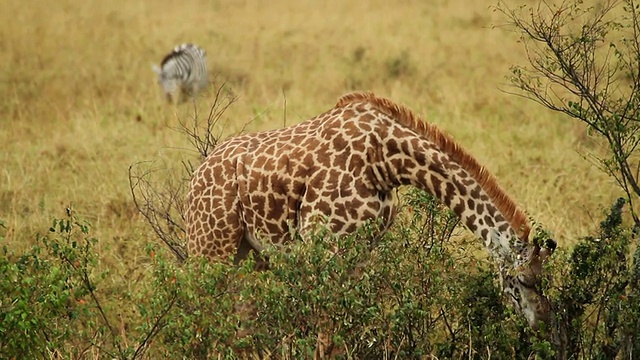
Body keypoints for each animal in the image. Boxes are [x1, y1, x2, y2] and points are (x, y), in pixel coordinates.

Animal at [185, 92, 556, 332]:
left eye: (547, 280)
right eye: (524, 280)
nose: (543, 322)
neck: (386, 160)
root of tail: (194, 179)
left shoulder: (361, 250)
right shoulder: (326, 245)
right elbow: (326, 325)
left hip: (248, 254)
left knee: (240, 315)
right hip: (210, 249)